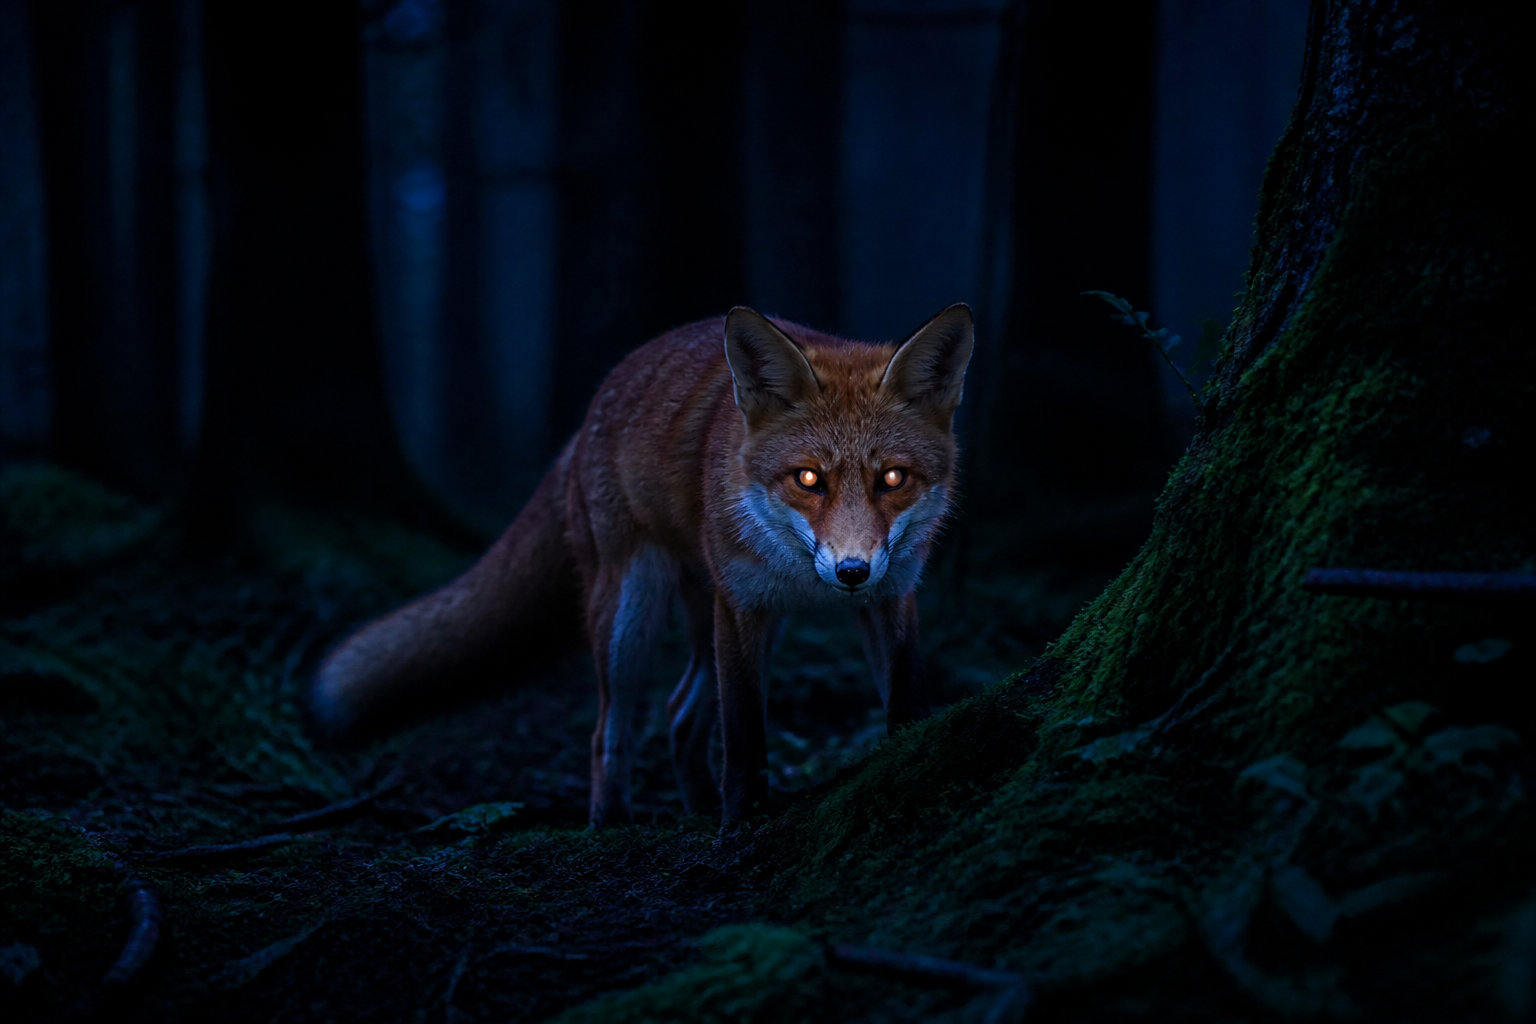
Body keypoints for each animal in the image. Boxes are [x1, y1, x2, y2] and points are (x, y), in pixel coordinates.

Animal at [311, 303, 974, 826]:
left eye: (893, 478)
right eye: (808, 479)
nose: (851, 572)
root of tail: (587, 418)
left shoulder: (890, 597)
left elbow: (905, 697)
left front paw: (905, 765)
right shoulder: (742, 605)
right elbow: (744, 732)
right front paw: (740, 826)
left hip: (734, 620)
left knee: (679, 717)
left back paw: (696, 808)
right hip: (630, 617)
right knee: (609, 732)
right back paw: (611, 824)